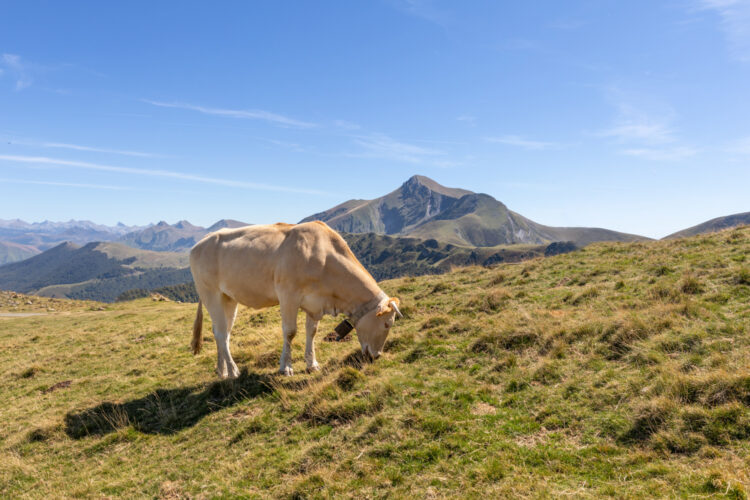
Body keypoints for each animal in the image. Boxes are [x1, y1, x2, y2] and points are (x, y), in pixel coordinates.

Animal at [189, 221, 400, 376]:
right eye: (387, 324)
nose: (376, 356)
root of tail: (200, 243)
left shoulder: (315, 303)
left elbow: (312, 331)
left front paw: (312, 364)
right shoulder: (288, 295)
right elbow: (290, 332)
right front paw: (286, 367)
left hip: (228, 298)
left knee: (221, 332)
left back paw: (222, 371)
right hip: (211, 293)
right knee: (221, 333)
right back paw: (233, 371)